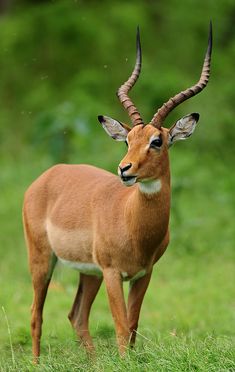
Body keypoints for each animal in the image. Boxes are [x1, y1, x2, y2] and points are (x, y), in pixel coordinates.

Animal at [23, 23, 212, 360]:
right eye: (127, 140)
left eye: (157, 141)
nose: (125, 169)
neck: (132, 221)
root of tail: (49, 174)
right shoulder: (113, 273)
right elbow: (122, 327)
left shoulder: (143, 274)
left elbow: (133, 325)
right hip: (43, 259)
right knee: (36, 313)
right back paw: (36, 363)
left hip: (89, 273)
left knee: (77, 315)